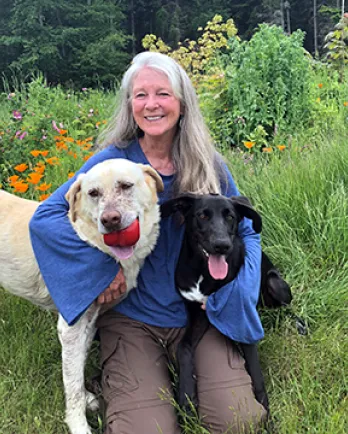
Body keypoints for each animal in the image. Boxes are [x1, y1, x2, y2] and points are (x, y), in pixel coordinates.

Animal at [0, 160, 164, 434]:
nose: (110, 220)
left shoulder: (90, 319)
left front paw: (87, 398)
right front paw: (79, 424)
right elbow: (72, 382)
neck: (91, 242)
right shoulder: (70, 328)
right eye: (93, 193)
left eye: (126, 185)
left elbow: (78, 367)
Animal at [162, 193, 292, 414]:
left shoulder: (243, 319)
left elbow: (256, 375)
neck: (202, 272)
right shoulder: (198, 314)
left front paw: (267, 416)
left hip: (276, 284)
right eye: (202, 216)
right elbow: (183, 347)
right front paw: (187, 396)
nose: (221, 245)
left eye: (230, 216)